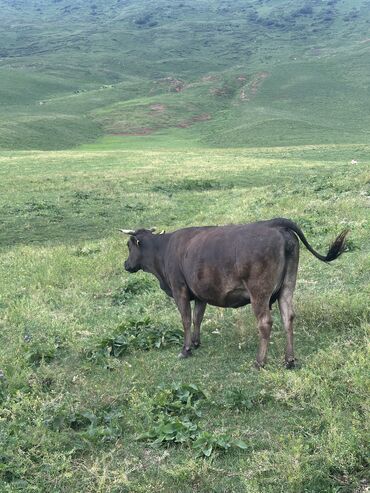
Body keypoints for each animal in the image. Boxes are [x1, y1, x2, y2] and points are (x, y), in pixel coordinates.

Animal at [120, 217, 348, 368]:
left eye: (129, 245)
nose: (126, 265)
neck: (164, 250)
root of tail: (273, 224)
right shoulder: (200, 293)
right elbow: (197, 318)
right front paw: (196, 343)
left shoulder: (180, 290)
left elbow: (185, 320)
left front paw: (186, 349)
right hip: (287, 286)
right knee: (288, 317)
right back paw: (289, 360)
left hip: (259, 292)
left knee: (265, 322)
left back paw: (259, 362)